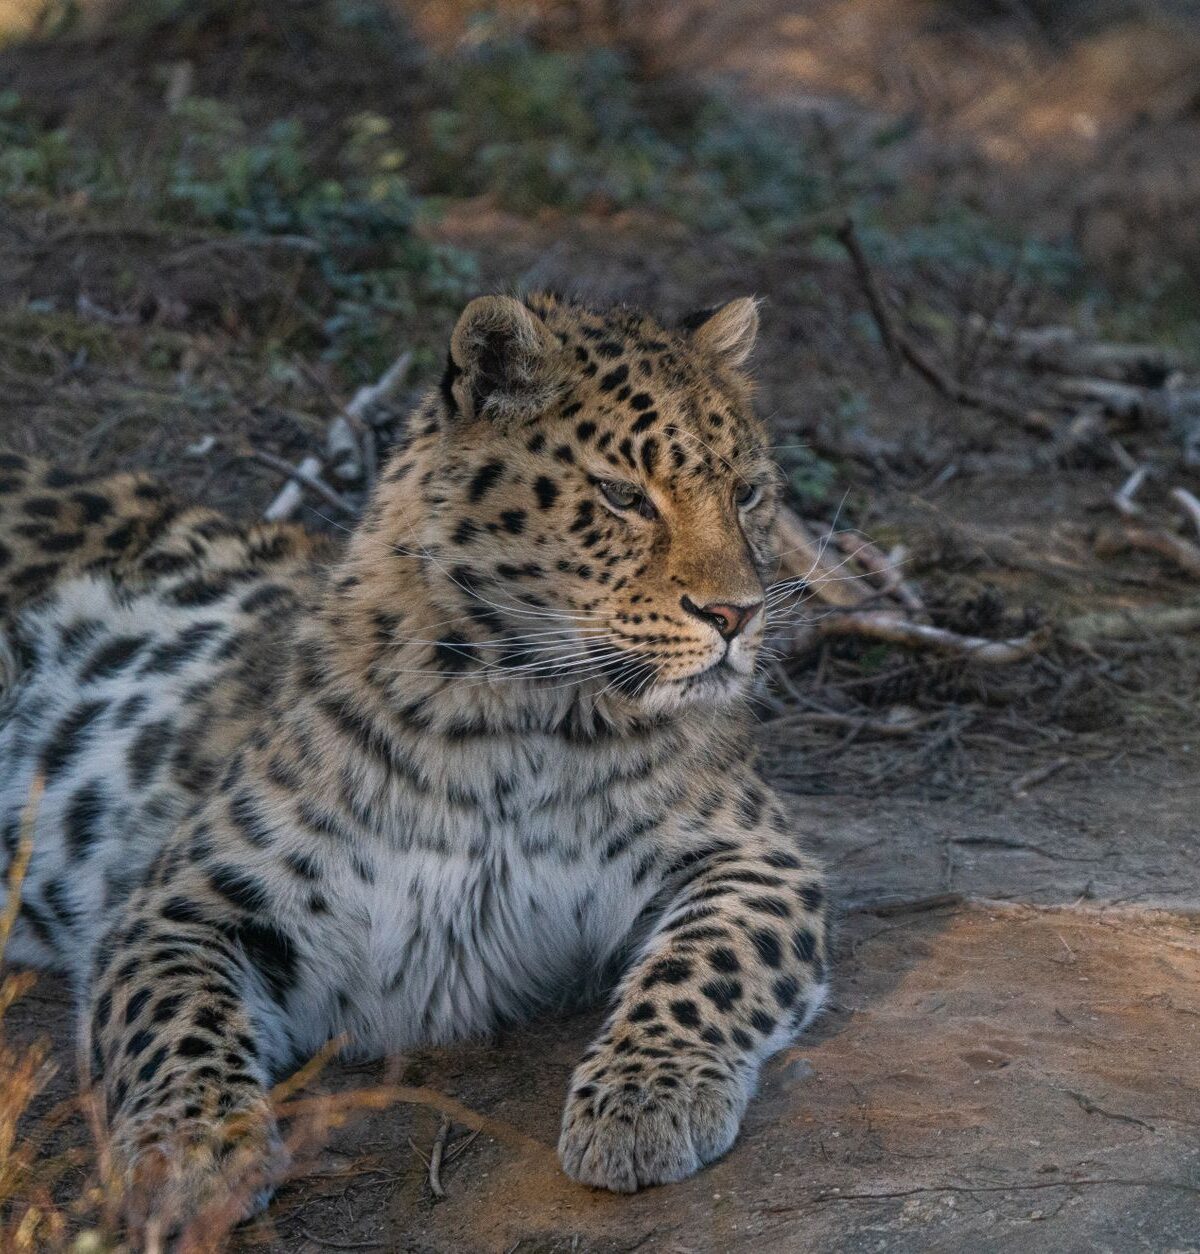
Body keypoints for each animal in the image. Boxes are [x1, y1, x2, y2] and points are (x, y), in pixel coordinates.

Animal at [0, 292, 830, 1240]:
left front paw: (643, 1099)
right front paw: (191, 1155)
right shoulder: (183, 903)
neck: (520, 714)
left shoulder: (753, 856)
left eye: (748, 493)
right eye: (623, 496)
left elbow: (705, 966)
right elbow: (176, 1018)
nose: (738, 615)